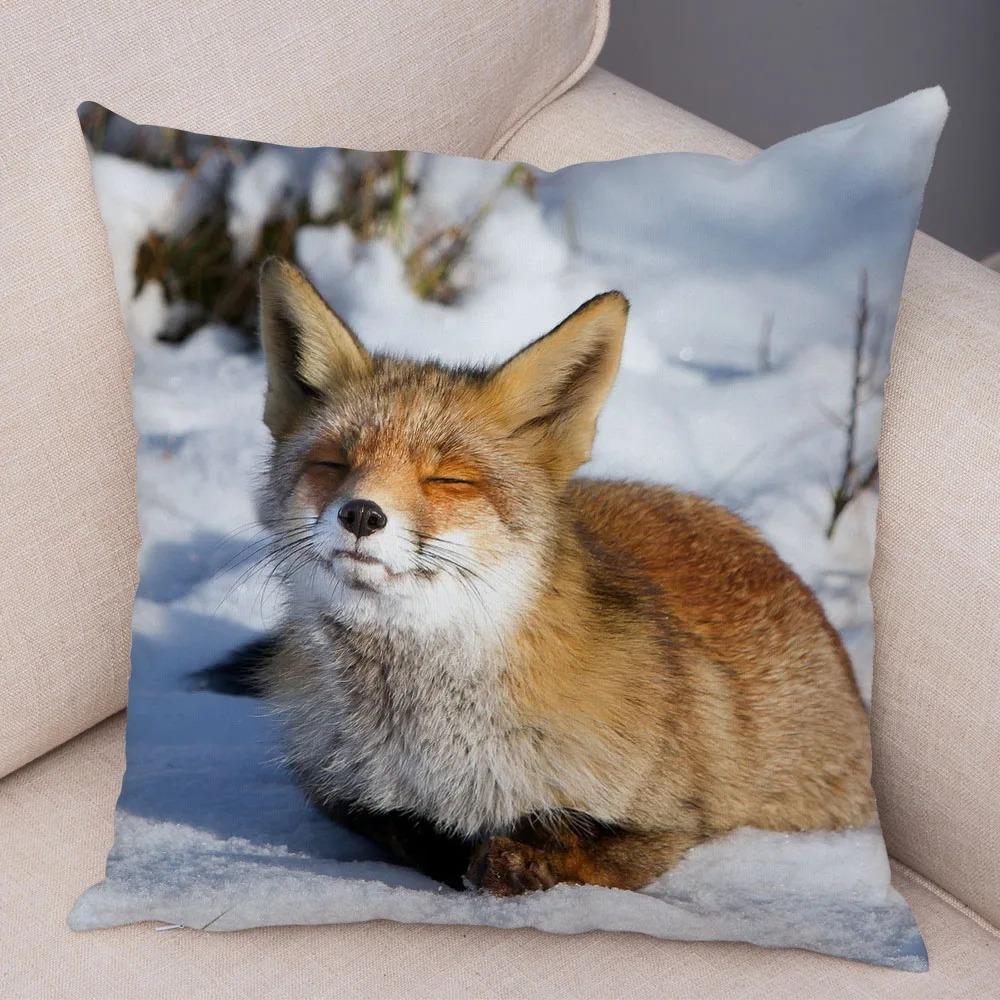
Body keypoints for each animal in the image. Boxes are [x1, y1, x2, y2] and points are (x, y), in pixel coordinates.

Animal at [249, 256, 875, 896]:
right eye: (333, 463)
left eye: (449, 480)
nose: (360, 514)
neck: (424, 744)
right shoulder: (336, 788)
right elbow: (405, 829)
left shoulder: (678, 818)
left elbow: (588, 842)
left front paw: (520, 857)